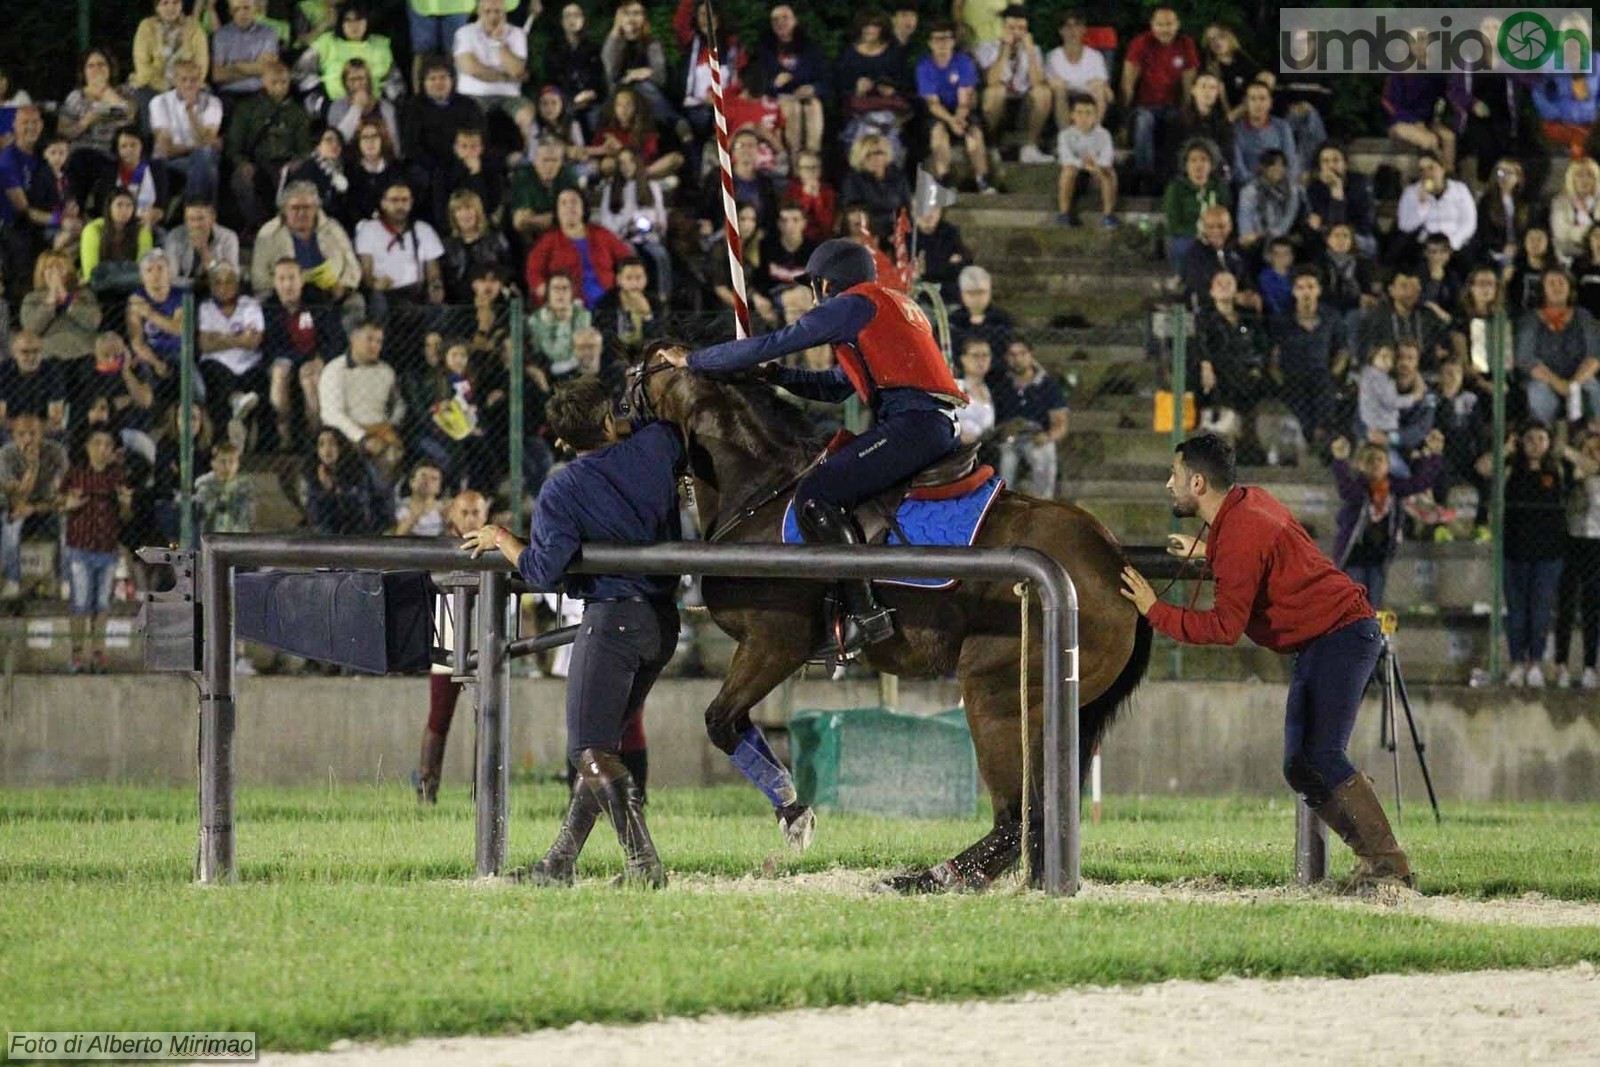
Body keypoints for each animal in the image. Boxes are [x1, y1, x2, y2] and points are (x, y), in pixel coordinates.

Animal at [627, 351, 1152, 895]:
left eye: (637, 379)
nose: (609, 420)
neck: (761, 489)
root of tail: (1115, 563)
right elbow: (733, 722)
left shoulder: (774, 643)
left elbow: (722, 721)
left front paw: (794, 813)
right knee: (1038, 815)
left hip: (994, 694)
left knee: (1016, 817)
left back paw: (929, 877)